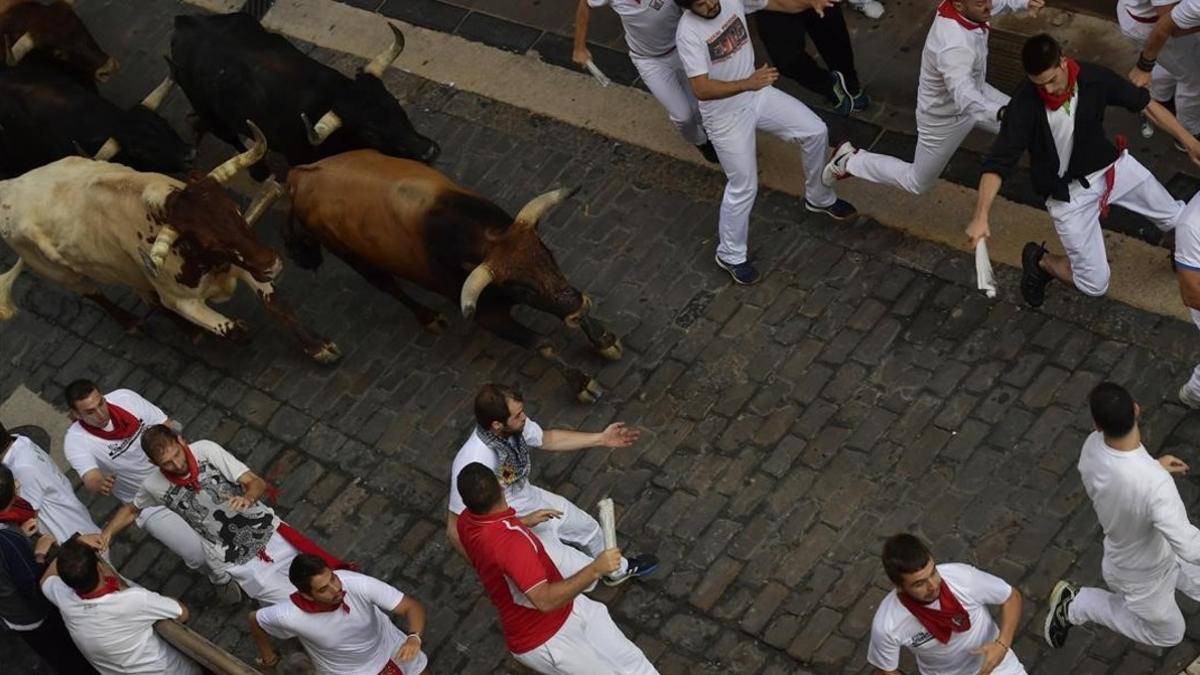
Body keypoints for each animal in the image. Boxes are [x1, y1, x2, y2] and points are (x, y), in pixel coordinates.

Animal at [0, 120, 343, 362]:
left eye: (235, 211)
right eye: (209, 240)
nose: (273, 263)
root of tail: (13, 184)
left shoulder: (246, 257)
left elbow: (278, 306)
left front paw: (318, 347)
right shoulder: (183, 299)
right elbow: (234, 331)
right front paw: (222, 330)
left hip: (125, 268)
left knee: (147, 296)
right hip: (63, 275)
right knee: (95, 295)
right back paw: (137, 324)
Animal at [164, 13, 436, 181]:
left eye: (395, 104)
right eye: (371, 132)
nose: (429, 152)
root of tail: (184, 21)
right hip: (210, 112)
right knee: (231, 138)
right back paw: (259, 172)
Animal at [280, 148, 619, 398]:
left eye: (548, 253)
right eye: (521, 287)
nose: (577, 308)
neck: (479, 237)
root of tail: (298, 176)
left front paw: (602, 339)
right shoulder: (489, 316)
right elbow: (541, 344)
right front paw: (582, 383)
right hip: (355, 258)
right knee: (389, 287)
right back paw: (428, 317)